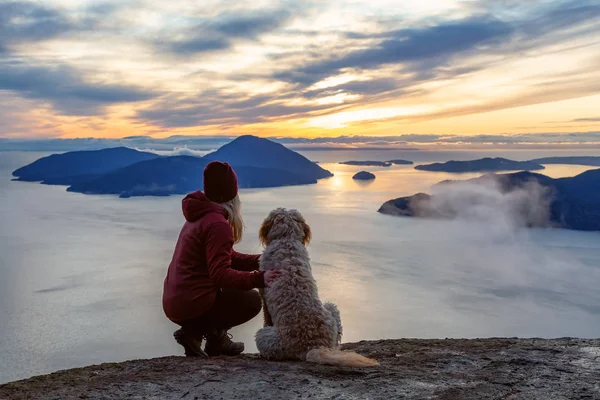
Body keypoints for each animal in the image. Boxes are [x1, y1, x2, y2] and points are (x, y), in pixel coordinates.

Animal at [254, 208, 378, 368]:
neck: (286, 239)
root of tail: (314, 345)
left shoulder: (263, 294)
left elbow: (266, 317)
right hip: (332, 311)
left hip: (263, 337)